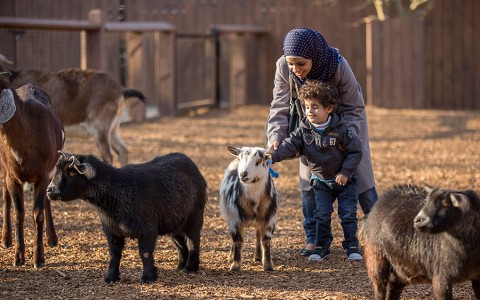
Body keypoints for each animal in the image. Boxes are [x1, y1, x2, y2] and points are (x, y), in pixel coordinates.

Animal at [0, 72, 64, 268]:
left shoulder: (44, 174)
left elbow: (38, 214)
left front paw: (39, 259)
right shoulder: (12, 176)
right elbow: (18, 214)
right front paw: (18, 258)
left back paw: (52, 239)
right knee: (5, 195)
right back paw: (6, 240)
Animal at [45, 152, 208, 284]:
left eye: (72, 173)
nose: (50, 190)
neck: (117, 191)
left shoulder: (147, 230)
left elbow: (145, 253)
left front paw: (148, 277)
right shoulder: (112, 231)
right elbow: (114, 254)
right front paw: (111, 278)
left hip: (194, 216)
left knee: (193, 241)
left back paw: (191, 268)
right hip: (174, 222)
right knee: (181, 244)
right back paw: (180, 266)